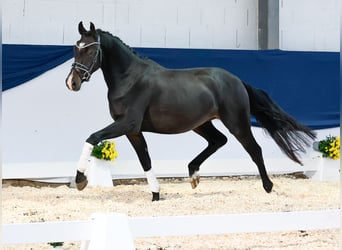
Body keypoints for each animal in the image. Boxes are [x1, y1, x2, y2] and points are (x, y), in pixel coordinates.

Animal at [66, 22, 316, 201]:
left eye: (91, 51)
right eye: (76, 48)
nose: (72, 82)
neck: (129, 78)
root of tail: (237, 80)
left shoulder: (128, 124)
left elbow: (92, 137)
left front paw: (80, 180)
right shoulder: (133, 131)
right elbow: (145, 160)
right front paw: (156, 194)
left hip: (236, 122)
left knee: (254, 149)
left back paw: (268, 187)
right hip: (202, 124)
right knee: (218, 140)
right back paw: (193, 174)